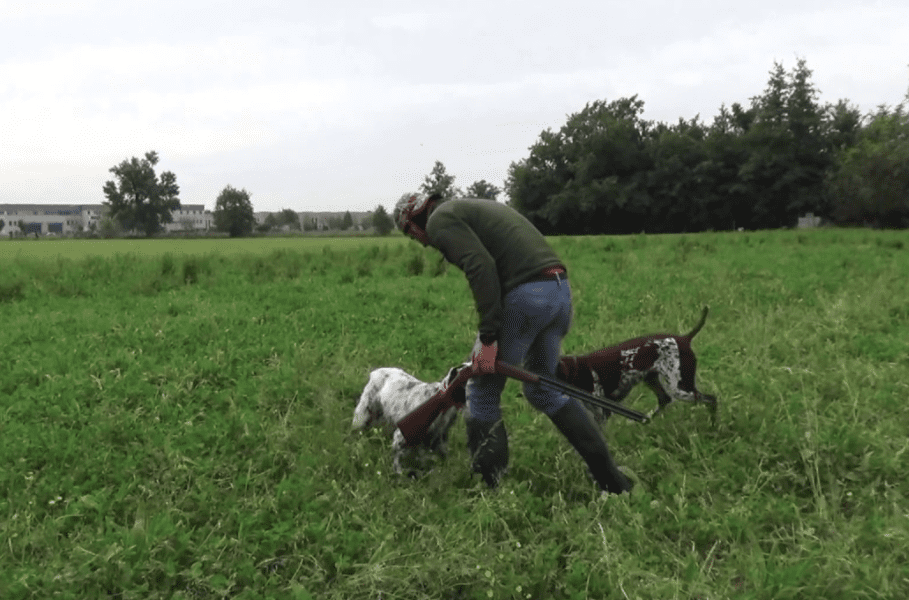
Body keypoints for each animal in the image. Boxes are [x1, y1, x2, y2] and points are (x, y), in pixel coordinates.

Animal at [552, 310, 716, 422]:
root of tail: (685, 338)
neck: (577, 369)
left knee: (711, 399)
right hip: (653, 380)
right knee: (664, 400)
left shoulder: (602, 414)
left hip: (681, 388)